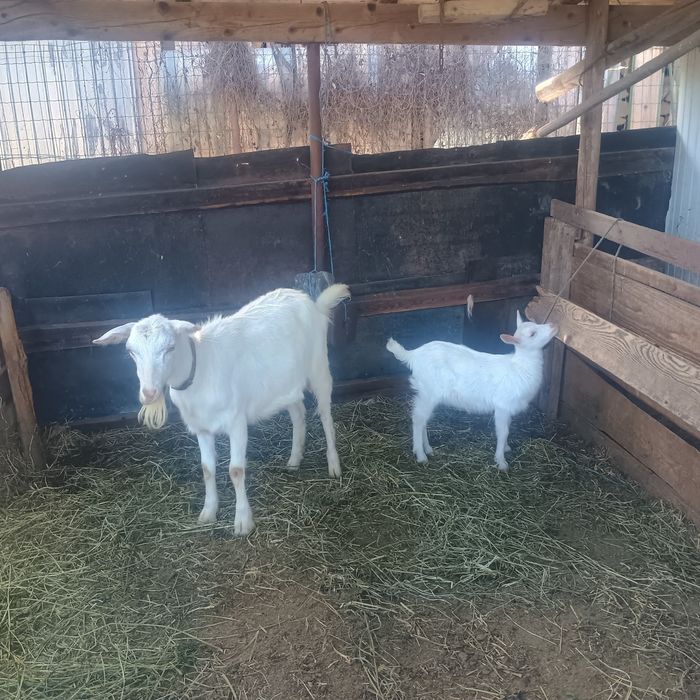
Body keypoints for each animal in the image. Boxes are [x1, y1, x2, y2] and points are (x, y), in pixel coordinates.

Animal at [93, 284, 351, 535]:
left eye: (170, 347)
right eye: (131, 351)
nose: (149, 393)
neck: (200, 370)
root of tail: (311, 302)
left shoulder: (237, 422)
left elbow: (236, 470)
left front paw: (243, 522)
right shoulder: (202, 428)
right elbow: (207, 469)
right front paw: (208, 512)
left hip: (319, 367)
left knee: (325, 416)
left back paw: (334, 466)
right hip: (284, 384)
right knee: (298, 413)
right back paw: (294, 460)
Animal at [386, 310, 557, 472]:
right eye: (532, 334)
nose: (553, 326)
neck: (520, 367)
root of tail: (413, 355)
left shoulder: (508, 408)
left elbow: (508, 426)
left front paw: (506, 448)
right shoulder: (502, 405)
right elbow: (503, 432)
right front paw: (501, 462)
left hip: (426, 393)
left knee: (423, 420)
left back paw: (427, 449)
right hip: (428, 391)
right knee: (418, 419)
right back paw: (421, 455)